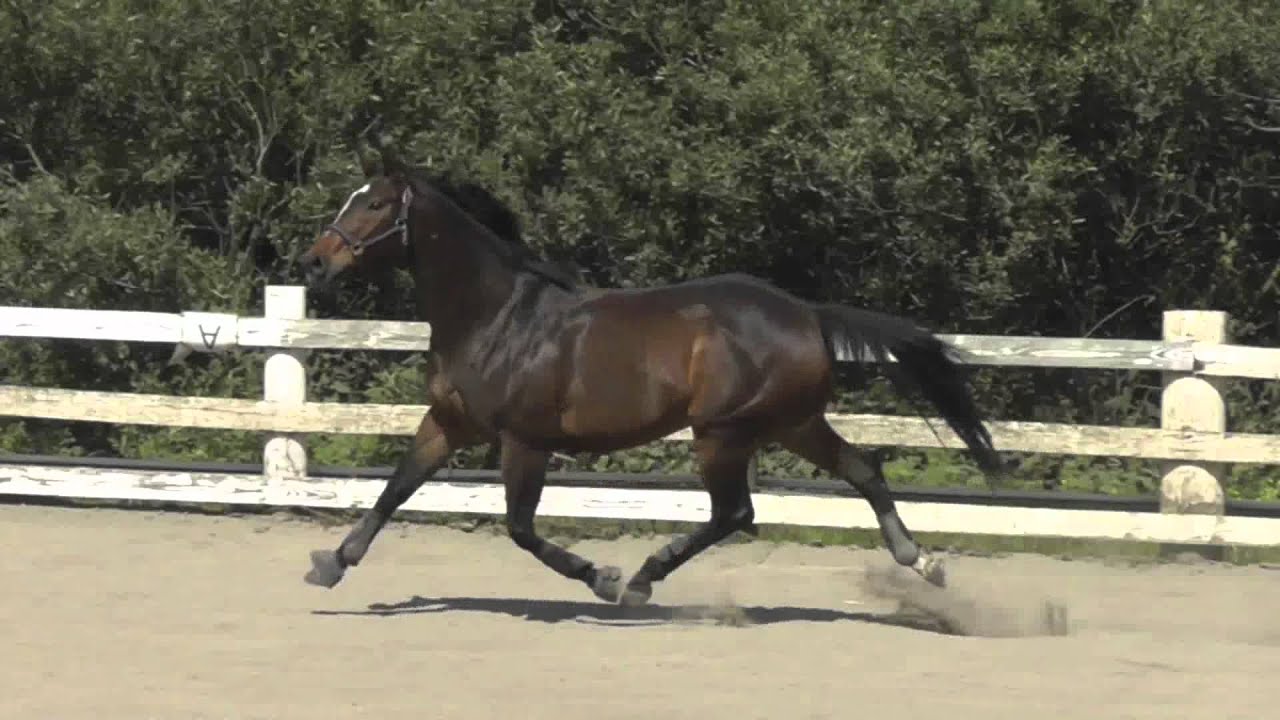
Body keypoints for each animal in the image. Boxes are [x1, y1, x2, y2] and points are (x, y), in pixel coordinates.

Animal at [297, 143, 1005, 607]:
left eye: (375, 203)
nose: (315, 261)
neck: (495, 317)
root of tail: (808, 313)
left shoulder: (524, 440)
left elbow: (521, 528)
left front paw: (601, 578)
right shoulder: (447, 423)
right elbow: (394, 489)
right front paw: (332, 564)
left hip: (722, 431)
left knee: (735, 511)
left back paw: (640, 579)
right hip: (792, 422)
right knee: (862, 472)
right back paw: (924, 562)